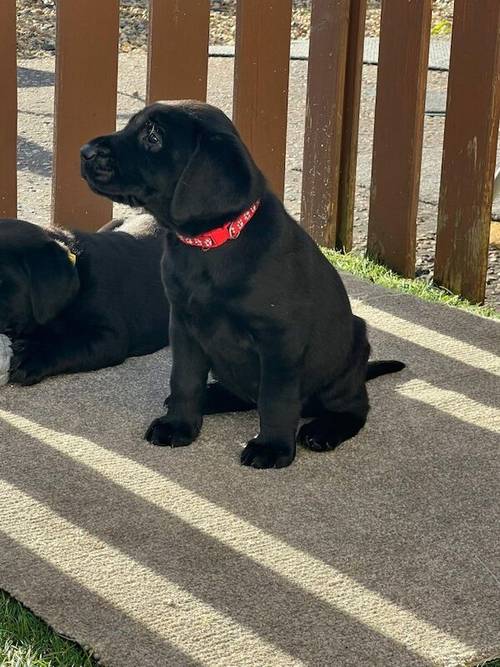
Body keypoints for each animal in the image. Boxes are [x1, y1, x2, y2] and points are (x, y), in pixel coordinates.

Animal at [81, 100, 402, 470]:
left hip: (347, 359)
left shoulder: (280, 338)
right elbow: (184, 379)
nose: (84, 152)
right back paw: (213, 395)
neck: (210, 245)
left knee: (354, 408)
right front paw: (179, 425)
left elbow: (276, 398)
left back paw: (323, 430)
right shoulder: (183, 324)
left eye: (154, 136)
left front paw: (272, 447)